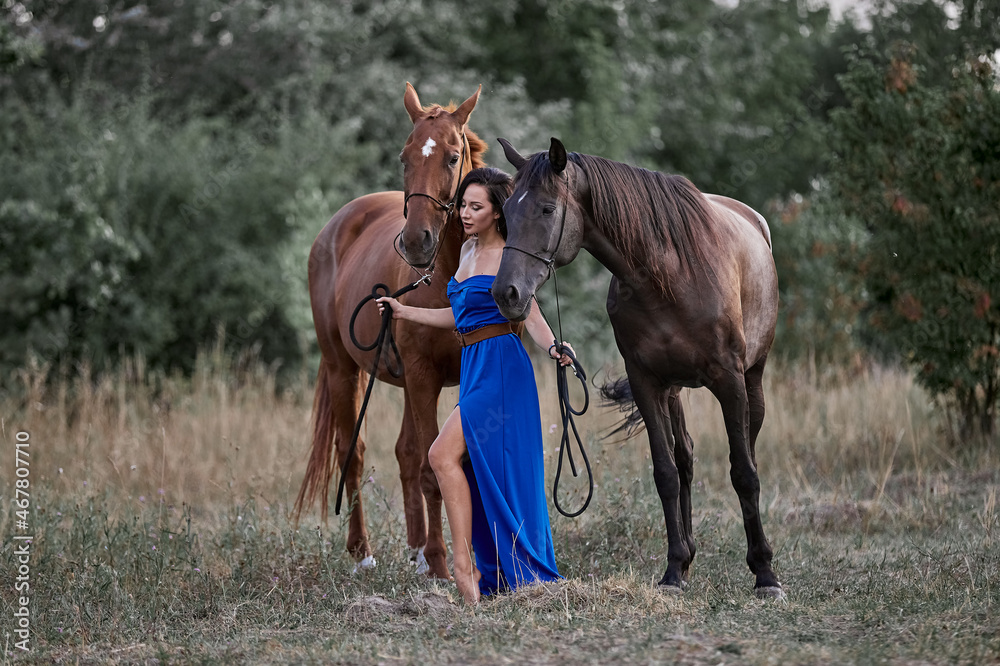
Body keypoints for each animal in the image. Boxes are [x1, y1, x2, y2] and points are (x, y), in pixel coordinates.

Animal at [294, 83, 487, 579]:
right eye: (405, 157)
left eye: (453, 156)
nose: (416, 242)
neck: (448, 273)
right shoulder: (421, 376)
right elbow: (430, 470)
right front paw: (441, 564)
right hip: (345, 370)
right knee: (353, 452)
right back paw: (364, 551)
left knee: (405, 452)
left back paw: (415, 548)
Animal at [492, 137, 783, 598]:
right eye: (505, 211)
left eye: (547, 209)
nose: (507, 294)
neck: (669, 274)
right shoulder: (647, 384)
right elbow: (665, 473)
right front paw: (674, 569)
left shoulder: (730, 381)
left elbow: (743, 472)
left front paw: (765, 573)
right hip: (674, 390)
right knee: (685, 457)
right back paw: (689, 554)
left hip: (752, 381)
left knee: (747, 453)